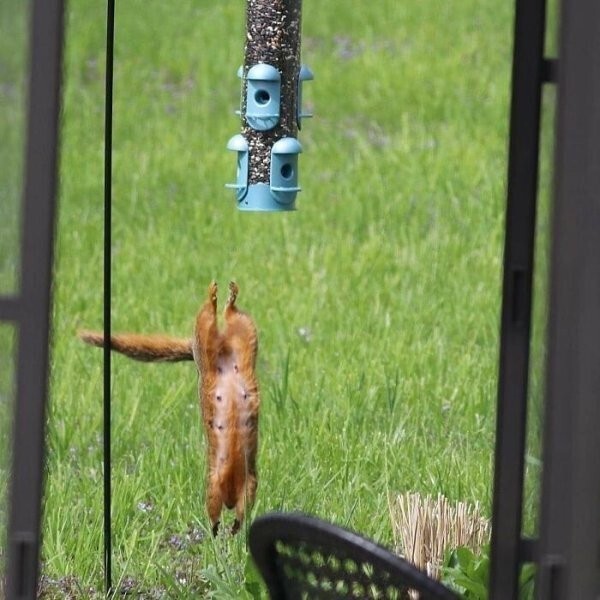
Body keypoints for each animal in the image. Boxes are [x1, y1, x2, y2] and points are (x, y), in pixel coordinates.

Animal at [78, 284, 258, 536]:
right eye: (226, 499)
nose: (230, 505)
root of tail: (223, 346)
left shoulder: (246, 483)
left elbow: (243, 503)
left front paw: (232, 527)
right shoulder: (216, 484)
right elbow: (213, 503)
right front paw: (218, 527)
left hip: (244, 335)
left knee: (232, 316)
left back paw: (226, 296)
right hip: (215, 339)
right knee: (211, 316)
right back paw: (218, 296)